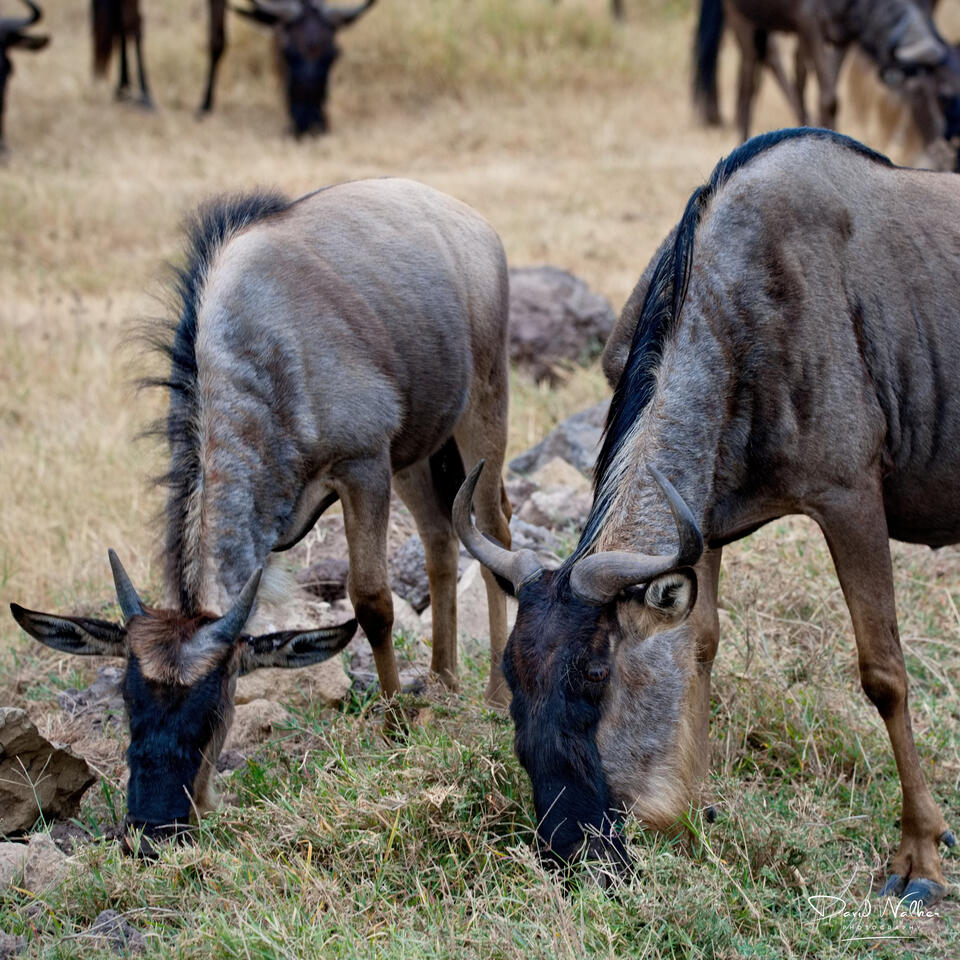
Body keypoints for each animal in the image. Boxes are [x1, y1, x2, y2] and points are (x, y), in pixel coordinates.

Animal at [11, 178, 512, 854]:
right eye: (128, 700)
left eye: (213, 707)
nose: (152, 829)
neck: (260, 353)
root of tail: (467, 218)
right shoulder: (378, 463)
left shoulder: (363, 465)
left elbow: (373, 601)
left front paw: (394, 728)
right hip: (417, 448)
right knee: (439, 536)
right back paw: (443, 682)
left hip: (484, 403)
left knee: (491, 530)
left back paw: (495, 695)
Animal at [456, 128, 958, 906]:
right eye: (511, 675)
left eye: (594, 675)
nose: (569, 850)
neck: (735, 306)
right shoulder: (708, 519)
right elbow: (699, 642)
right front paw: (687, 808)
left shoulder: (849, 498)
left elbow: (885, 673)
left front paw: (920, 860)